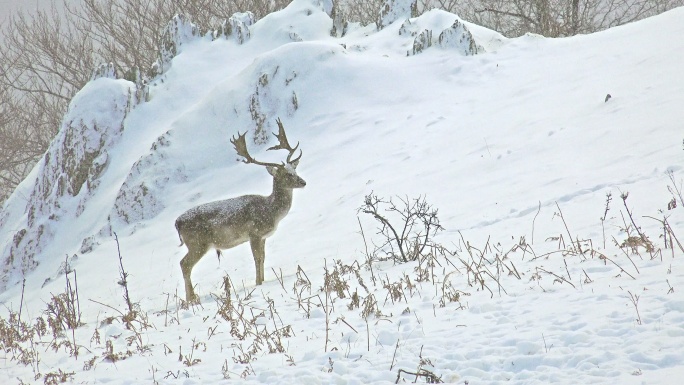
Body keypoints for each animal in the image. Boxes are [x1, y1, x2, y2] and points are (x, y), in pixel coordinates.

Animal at [175, 118, 306, 302]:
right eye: (287, 174)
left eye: (294, 169)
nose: (303, 182)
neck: (271, 211)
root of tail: (177, 222)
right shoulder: (254, 233)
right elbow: (257, 258)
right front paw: (258, 283)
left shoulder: (263, 237)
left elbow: (263, 258)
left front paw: (263, 280)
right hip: (197, 242)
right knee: (184, 264)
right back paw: (191, 299)